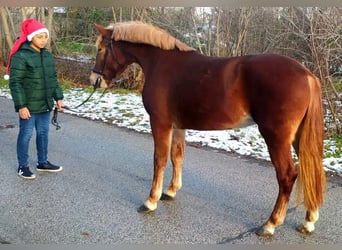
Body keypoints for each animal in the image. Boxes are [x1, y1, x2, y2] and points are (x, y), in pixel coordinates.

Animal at [89, 21, 324, 236]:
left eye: (100, 49)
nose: (94, 80)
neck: (161, 62)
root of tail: (307, 75)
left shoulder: (160, 122)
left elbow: (159, 159)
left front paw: (151, 201)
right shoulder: (177, 126)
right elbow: (177, 156)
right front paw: (171, 191)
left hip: (276, 137)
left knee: (287, 175)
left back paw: (271, 224)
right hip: (297, 137)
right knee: (311, 170)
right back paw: (309, 221)